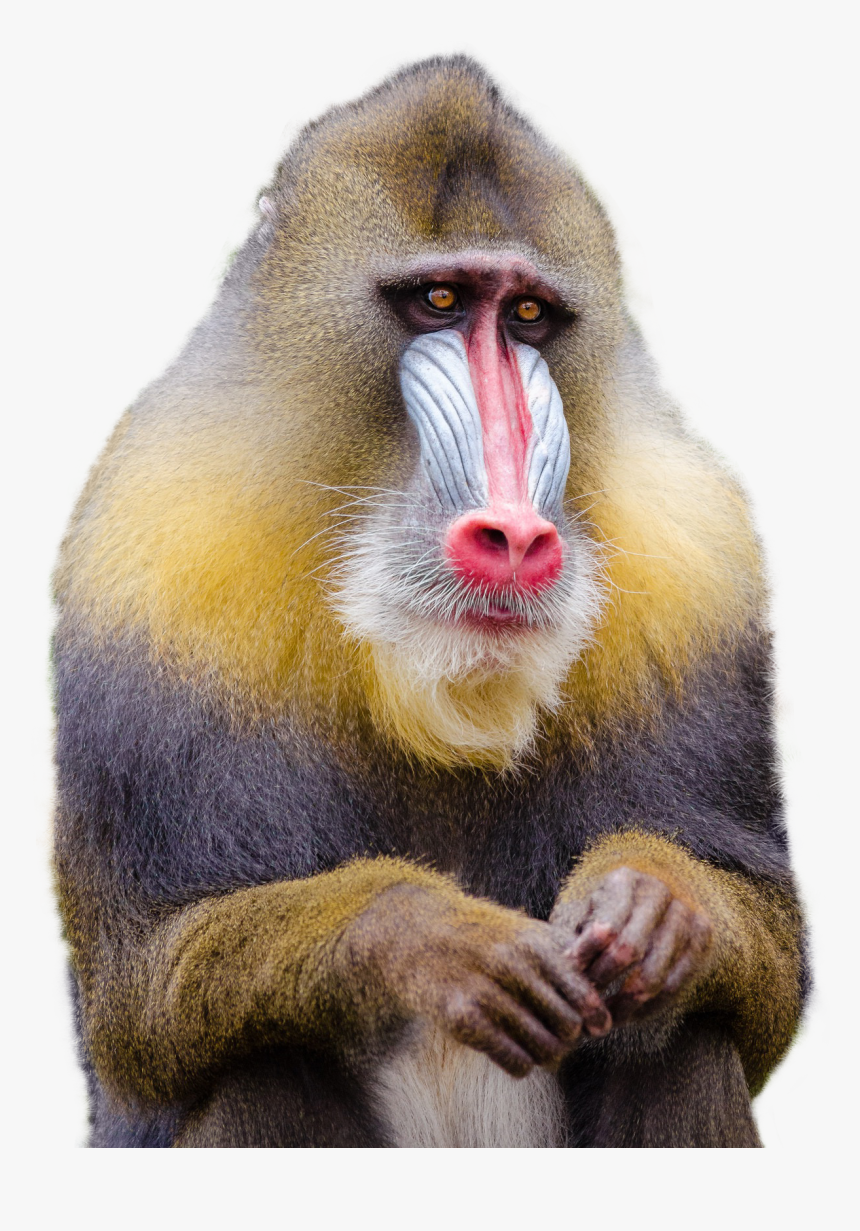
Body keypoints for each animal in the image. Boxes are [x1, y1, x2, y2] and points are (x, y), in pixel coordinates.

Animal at [53, 56, 807, 1148]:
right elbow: (141, 999)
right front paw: (432, 937)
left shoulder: (700, 568)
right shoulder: (148, 570)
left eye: (527, 318)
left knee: (682, 1040)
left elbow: (767, 977)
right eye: (440, 299)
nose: (515, 537)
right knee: (255, 1063)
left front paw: (654, 905)